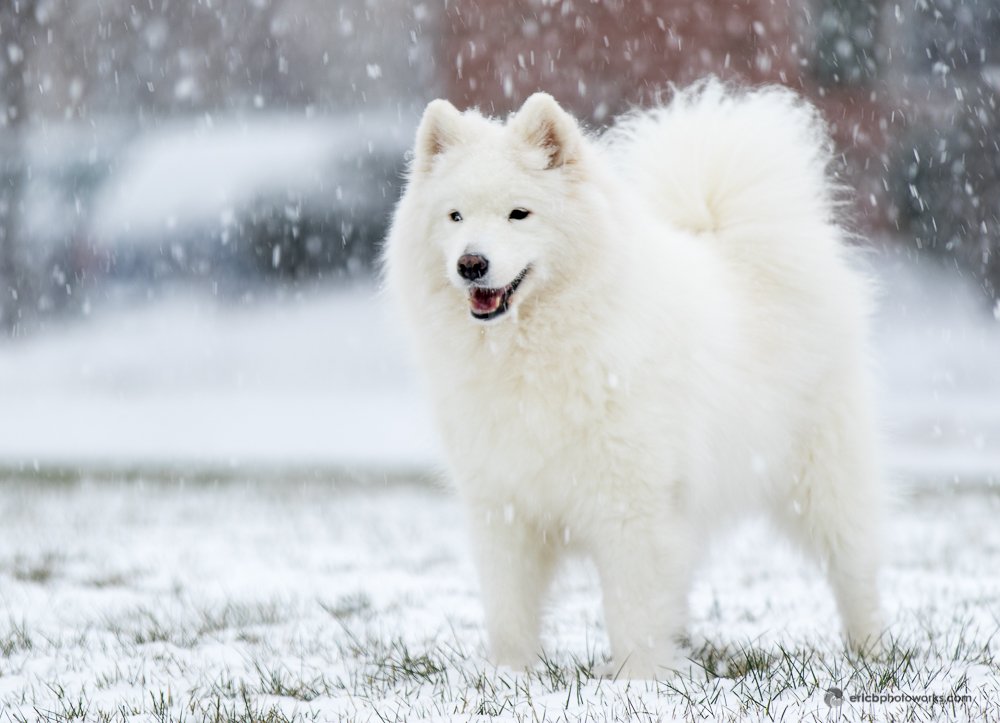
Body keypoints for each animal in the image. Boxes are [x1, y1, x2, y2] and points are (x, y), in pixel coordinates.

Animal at [382, 80, 884, 680]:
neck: (533, 355)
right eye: (455, 216)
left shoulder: (631, 503)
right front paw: (510, 676)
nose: (471, 264)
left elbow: (632, 606)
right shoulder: (502, 504)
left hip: (824, 477)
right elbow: (509, 608)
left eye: (518, 214)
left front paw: (638, 681)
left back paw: (872, 653)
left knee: (854, 566)